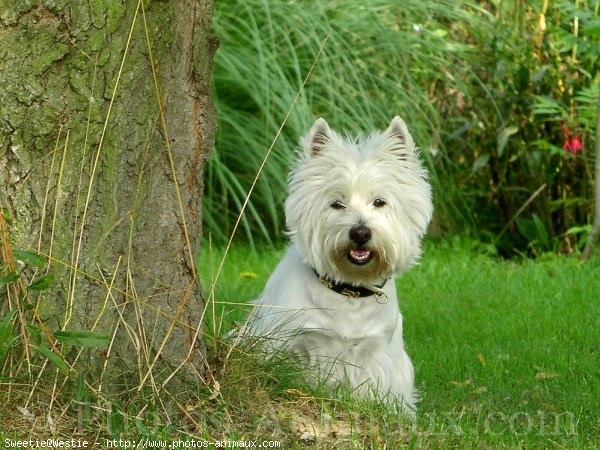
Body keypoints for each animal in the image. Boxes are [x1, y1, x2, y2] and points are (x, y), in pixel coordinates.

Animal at [244, 117, 432, 414]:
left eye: (379, 202)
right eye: (336, 203)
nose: (360, 232)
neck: (348, 291)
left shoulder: (374, 352)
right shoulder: (286, 340)